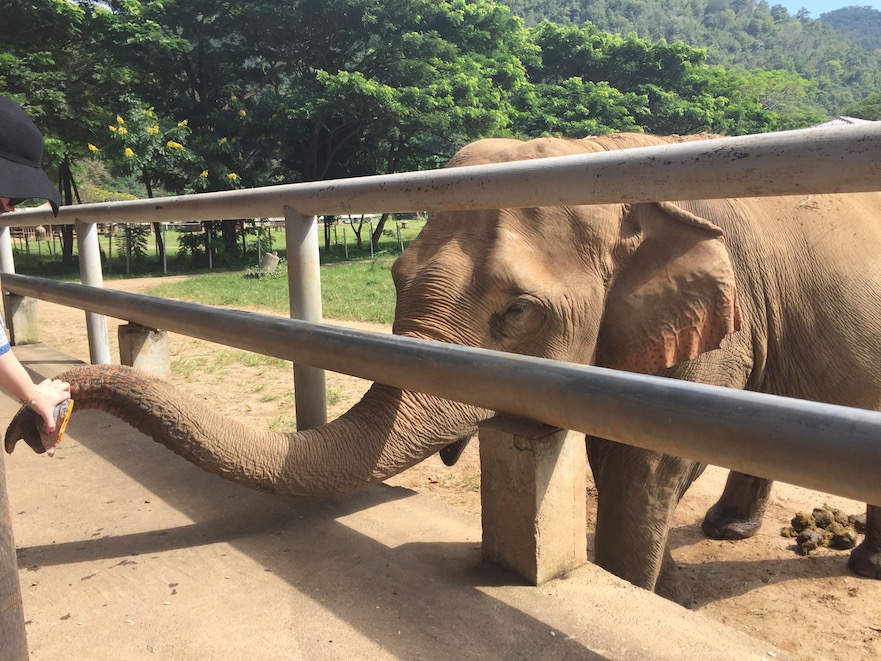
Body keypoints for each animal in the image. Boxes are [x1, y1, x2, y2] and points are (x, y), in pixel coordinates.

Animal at [6, 131, 880, 600]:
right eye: (392, 276)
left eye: (516, 313)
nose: (35, 421)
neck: (603, 160)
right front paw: (664, 588)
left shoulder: (712, 331)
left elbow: (647, 463)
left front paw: (650, 591)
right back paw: (741, 531)